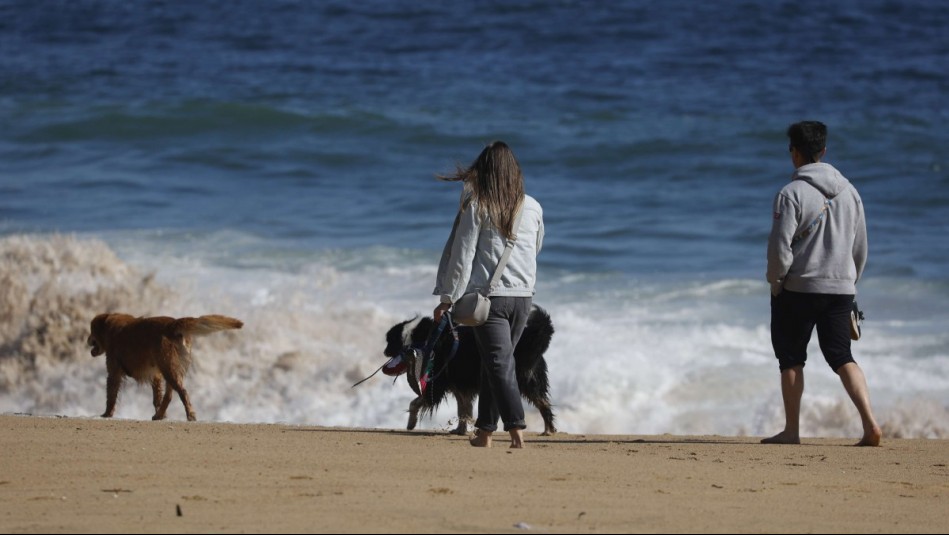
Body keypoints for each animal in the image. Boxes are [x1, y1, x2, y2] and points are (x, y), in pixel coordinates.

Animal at [88, 314, 243, 422]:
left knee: (182, 392)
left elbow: (111, 395)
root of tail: (172, 325)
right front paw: (161, 414)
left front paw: (106, 414)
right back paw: (159, 415)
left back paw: (190, 415)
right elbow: (157, 397)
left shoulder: (113, 371)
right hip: (169, 368)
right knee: (169, 395)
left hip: (168, 367)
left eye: (91, 330)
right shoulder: (156, 375)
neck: (110, 328)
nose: (87, 340)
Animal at [380, 306, 556, 436]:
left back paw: (546, 430)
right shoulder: (459, 386)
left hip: (521, 380)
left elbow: (416, 402)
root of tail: (529, 341)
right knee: (544, 403)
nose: (384, 352)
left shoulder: (437, 384)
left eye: (389, 342)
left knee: (542, 404)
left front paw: (411, 423)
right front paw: (460, 430)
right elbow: (462, 410)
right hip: (531, 382)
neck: (418, 338)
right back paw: (549, 430)